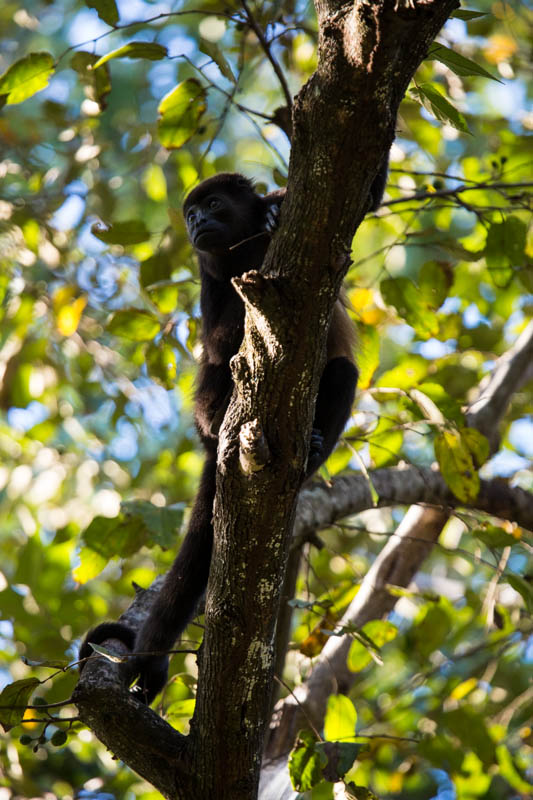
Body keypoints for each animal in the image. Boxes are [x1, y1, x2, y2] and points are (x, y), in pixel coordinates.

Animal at [80, 167, 386, 700]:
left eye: (213, 204)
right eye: (190, 212)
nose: (196, 220)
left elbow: (367, 196)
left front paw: (274, 211)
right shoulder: (209, 276)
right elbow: (220, 338)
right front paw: (268, 221)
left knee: (344, 370)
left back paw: (311, 450)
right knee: (220, 364)